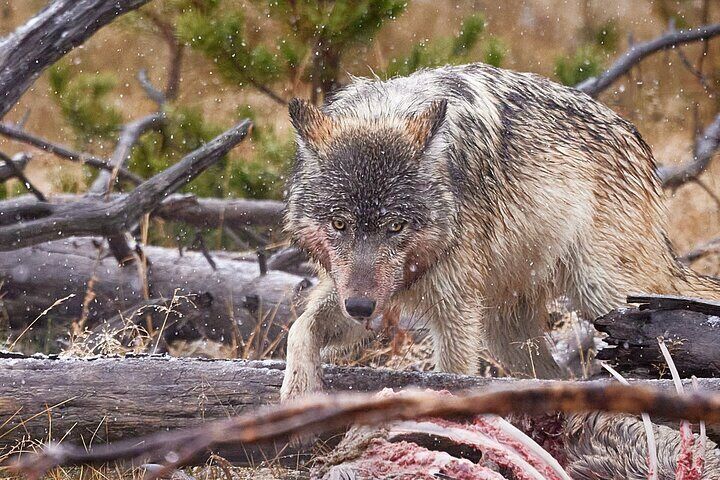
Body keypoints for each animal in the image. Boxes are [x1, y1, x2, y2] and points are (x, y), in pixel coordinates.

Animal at [280, 62, 720, 400]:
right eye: (340, 224)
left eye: (395, 226)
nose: (360, 308)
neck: (385, 112)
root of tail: (639, 145)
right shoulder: (355, 289)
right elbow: (299, 329)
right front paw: (298, 391)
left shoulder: (454, 308)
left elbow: (455, 374)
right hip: (506, 335)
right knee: (554, 376)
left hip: (607, 298)